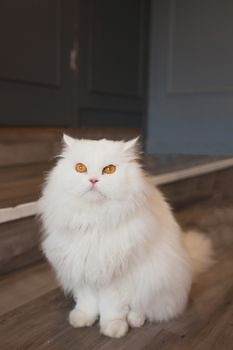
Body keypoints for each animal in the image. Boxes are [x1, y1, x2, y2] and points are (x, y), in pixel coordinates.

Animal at [38, 135, 213, 338]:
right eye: (80, 168)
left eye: (109, 169)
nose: (93, 180)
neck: (94, 222)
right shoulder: (82, 269)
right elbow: (87, 302)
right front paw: (83, 319)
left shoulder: (117, 278)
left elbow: (112, 307)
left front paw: (113, 328)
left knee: (143, 309)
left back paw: (134, 320)